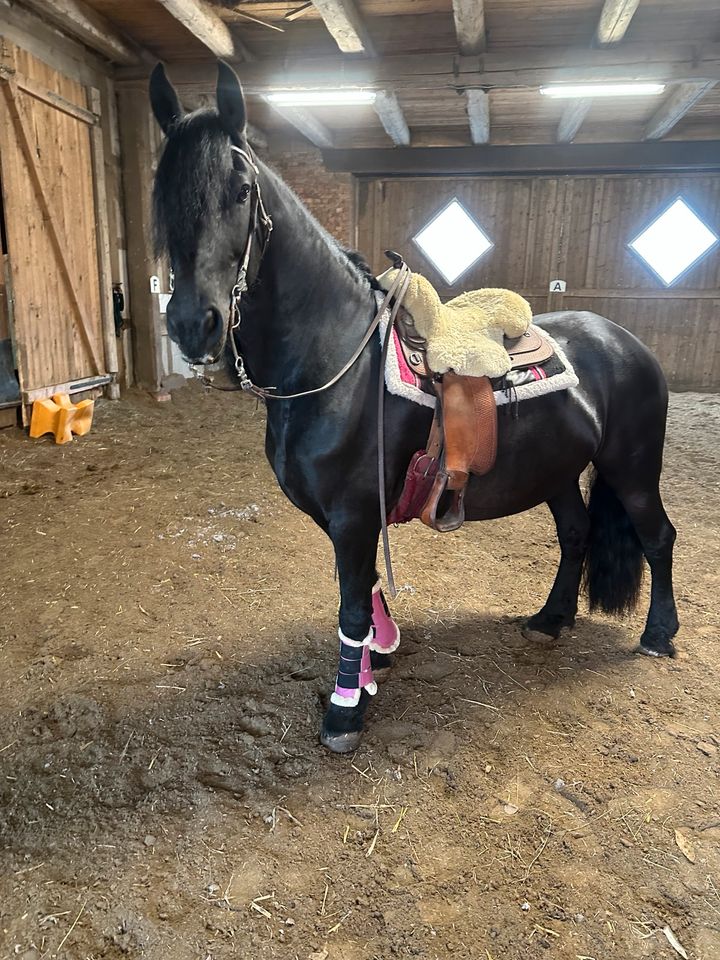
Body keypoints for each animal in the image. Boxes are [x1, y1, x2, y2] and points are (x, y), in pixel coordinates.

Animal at [149, 60, 676, 752]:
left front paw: (346, 709)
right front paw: (378, 659)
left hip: (632, 467)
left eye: (240, 191)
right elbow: (367, 588)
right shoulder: (341, 517)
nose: (193, 323)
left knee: (658, 537)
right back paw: (550, 618)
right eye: (162, 195)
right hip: (558, 470)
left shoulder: (351, 514)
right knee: (577, 533)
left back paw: (659, 636)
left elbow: (350, 603)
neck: (334, 361)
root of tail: (626, 341)